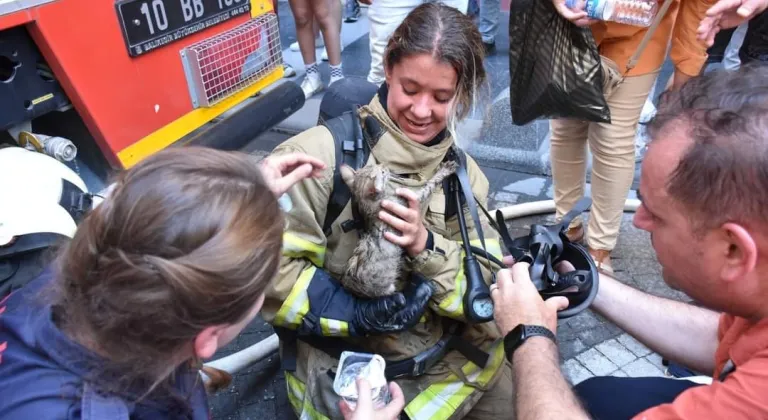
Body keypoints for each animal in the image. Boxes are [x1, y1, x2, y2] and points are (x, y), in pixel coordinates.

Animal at [340, 162, 460, 298]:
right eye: (382, 172)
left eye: (373, 165)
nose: (384, 165)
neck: (372, 206)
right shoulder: (408, 202)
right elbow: (429, 185)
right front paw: (444, 171)